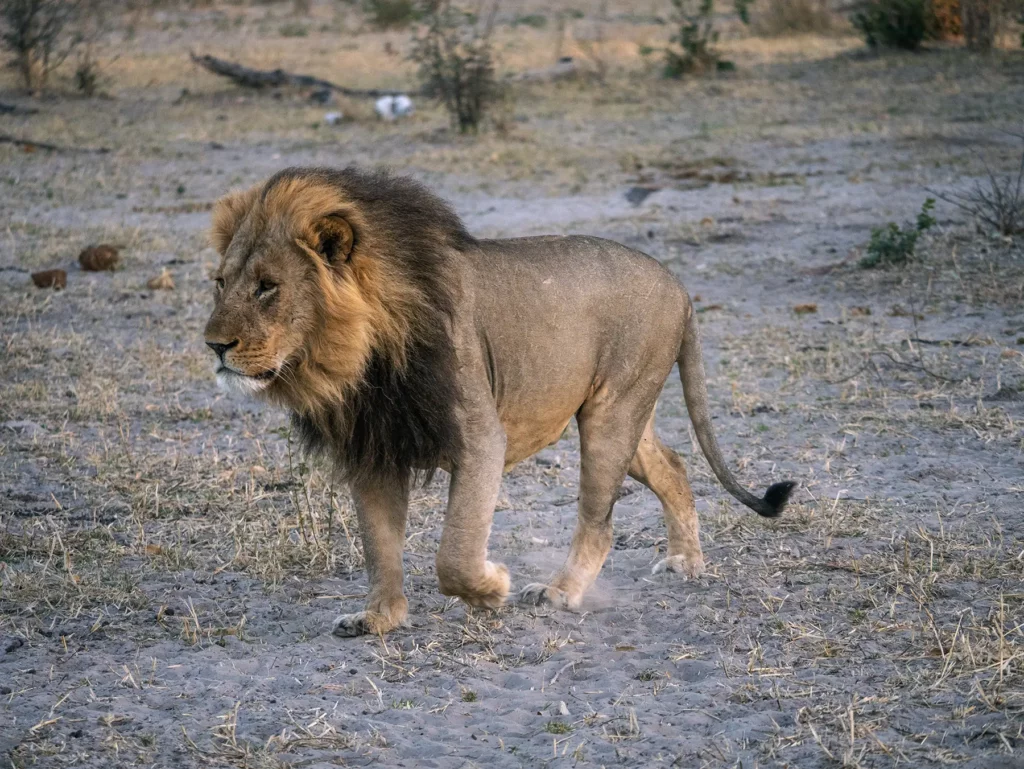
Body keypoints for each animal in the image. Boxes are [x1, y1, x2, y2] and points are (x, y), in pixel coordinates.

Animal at [204, 167, 795, 637]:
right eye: (220, 283)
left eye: (267, 286)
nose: (214, 345)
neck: (361, 362)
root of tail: (679, 285)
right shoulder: (375, 448)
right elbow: (379, 545)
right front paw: (380, 617)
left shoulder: (481, 437)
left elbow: (455, 553)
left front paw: (492, 590)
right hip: (622, 413)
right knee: (672, 466)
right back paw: (685, 561)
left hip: (612, 414)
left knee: (600, 519)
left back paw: (560, 592)